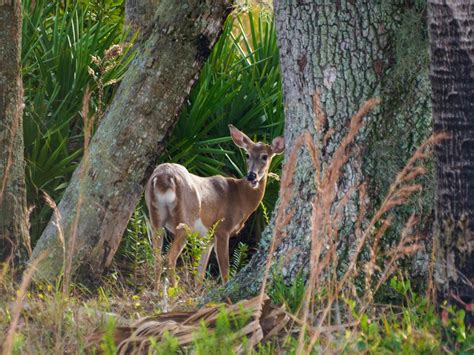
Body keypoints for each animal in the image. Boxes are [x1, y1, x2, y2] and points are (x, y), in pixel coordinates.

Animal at [144, 125, 284, 286]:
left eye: (265, 156)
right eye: (247, 154)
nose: (251, 176)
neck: (240, 198)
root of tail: (163, 177)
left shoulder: (208, 238)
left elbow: (200, 274)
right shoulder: (222, 228)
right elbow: (225, 270)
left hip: (155, 218)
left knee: (157, 256)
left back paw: (157, 288)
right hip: (185, 220)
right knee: (170, 257)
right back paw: (173, 289)